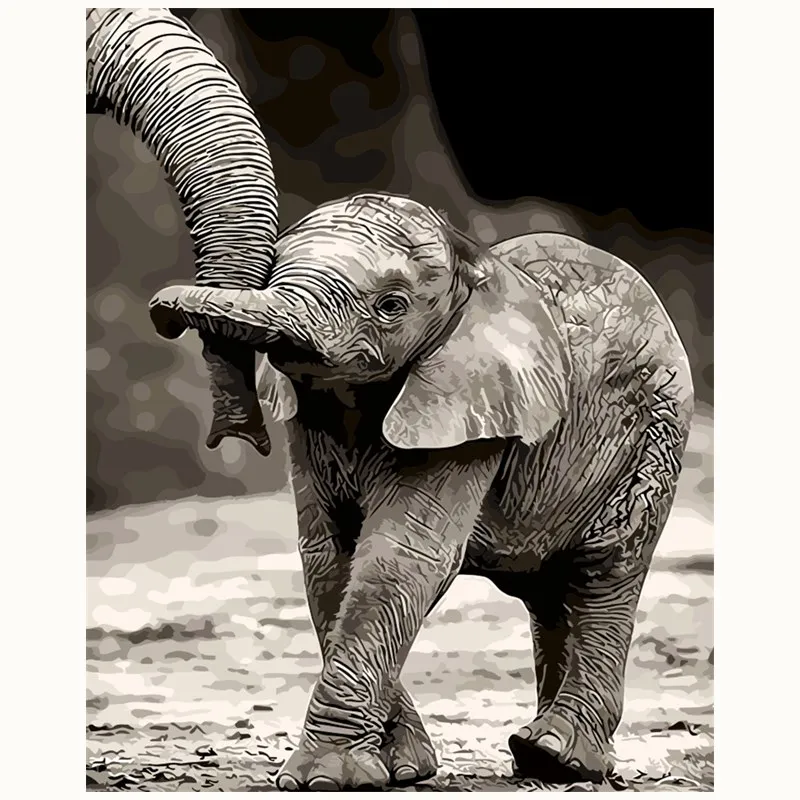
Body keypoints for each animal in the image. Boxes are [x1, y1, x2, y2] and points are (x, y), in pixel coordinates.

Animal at [87, 7, 693, 792]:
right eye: (276, 271)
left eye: (392, 306)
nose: (236, 436)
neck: (471, 262)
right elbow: (328, 559)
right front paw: (397, 770)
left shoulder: (471, 414)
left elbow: (399, 558)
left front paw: (323, 778)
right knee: (549, 592)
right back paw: (536, 754)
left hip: (656, 431)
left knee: (603, 572)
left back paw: (560, 757)